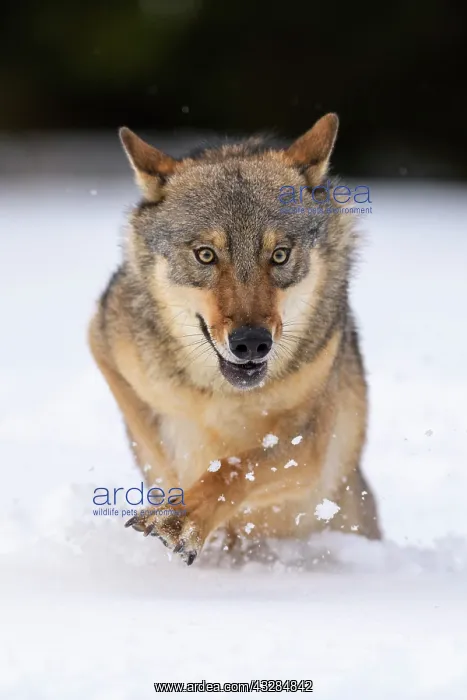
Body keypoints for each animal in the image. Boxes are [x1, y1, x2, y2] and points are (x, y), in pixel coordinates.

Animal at [88, 113, 381, 565]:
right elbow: (162, 454)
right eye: (206, 255)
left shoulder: (310, 442)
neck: (219, 395)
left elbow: (232, 467)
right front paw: (178, 507)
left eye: (279, 255)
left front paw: (183, 519)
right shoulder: (106, 349)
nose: (252, 343)